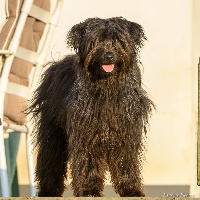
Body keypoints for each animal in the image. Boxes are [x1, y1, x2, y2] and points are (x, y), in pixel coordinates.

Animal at [28, 17, 155, 197]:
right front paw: (88, 189)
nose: (108, 55)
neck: (107, 88)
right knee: (51, 157)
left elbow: (126, 160)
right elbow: (88, 160)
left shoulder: (127, 130)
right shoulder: (85, 130)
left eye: (118, 39)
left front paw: (131, 189)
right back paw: (49, 190)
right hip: (53, 129)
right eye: (96, 40)